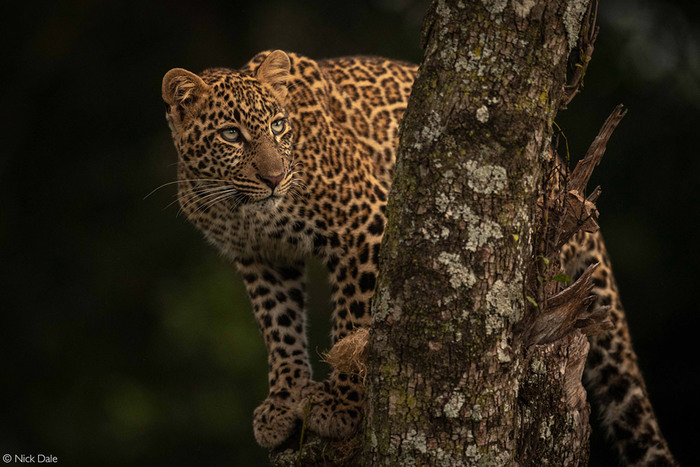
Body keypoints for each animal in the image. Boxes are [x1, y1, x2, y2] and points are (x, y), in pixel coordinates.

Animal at [161, 49, 676, 466]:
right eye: (231, 134)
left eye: (277, 126)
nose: (274, 178)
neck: (241, 209)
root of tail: (564, 172)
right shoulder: (261, 259)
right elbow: (279, 329)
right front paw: (284, 401)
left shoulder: (364, 225)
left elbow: (354, 320)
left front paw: (342, 405)